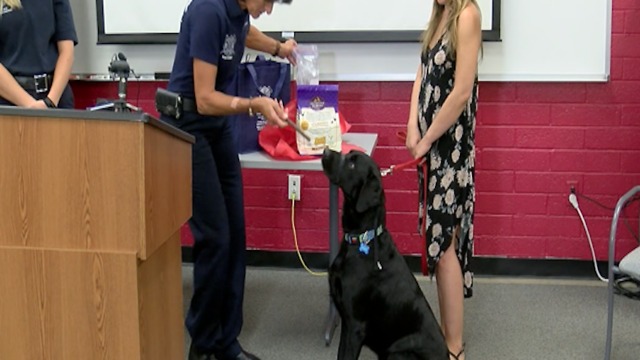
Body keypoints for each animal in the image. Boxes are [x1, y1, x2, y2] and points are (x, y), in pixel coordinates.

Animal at [322, 148, 448, 358]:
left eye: (352, 164)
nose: (324, 151)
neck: (363, 239)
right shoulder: (346, 322)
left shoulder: (355, 326)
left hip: (398, 351)